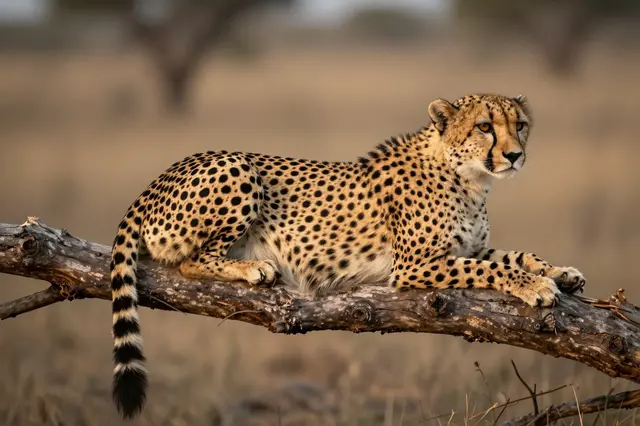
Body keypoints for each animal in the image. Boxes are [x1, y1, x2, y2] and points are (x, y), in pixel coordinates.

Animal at [109, 93, 586, 419]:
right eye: (485, 127)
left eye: (520, 125)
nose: (514, 154)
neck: (469, 178)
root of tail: (158, 179)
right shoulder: (414, 266)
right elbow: (491, 268)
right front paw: (536, 286)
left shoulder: (469, 246)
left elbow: (516, 255)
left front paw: (562, 272)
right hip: (238, 165)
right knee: (189, 260)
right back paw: (253, 266)